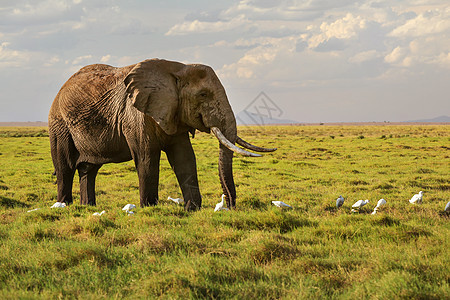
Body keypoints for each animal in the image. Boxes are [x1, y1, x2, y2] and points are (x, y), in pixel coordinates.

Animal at [47, 58, 276, 211]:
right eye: (203, 94)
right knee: (65, 168)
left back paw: (89, 207)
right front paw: (149, 208)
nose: (228, 206)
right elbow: (147, 157)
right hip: (59, 125)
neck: (177, 68)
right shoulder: (136, 115)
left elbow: (185, 158)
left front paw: (192, 209)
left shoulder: (173, 113)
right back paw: (64, 206)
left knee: (89, 170)